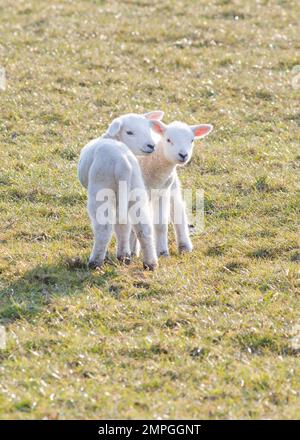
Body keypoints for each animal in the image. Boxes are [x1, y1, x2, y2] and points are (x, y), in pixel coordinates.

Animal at [78, 110, 164, 270]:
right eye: (129, 132)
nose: (151, 145)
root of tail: (123, 163)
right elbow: (124, 226)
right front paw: (124, 254)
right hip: (135, 188)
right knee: (143, 228)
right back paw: (148, 263)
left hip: (102, 188)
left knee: (104, 228)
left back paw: (95, 262)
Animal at [131, 119, 213, 258]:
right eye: (168, 140)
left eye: (192, 140)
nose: (183, 155)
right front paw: (132, 252)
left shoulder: (163, 192)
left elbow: (161, 224)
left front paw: (162, 252)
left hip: (172, 186)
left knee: (178, 211)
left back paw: (185, 246)